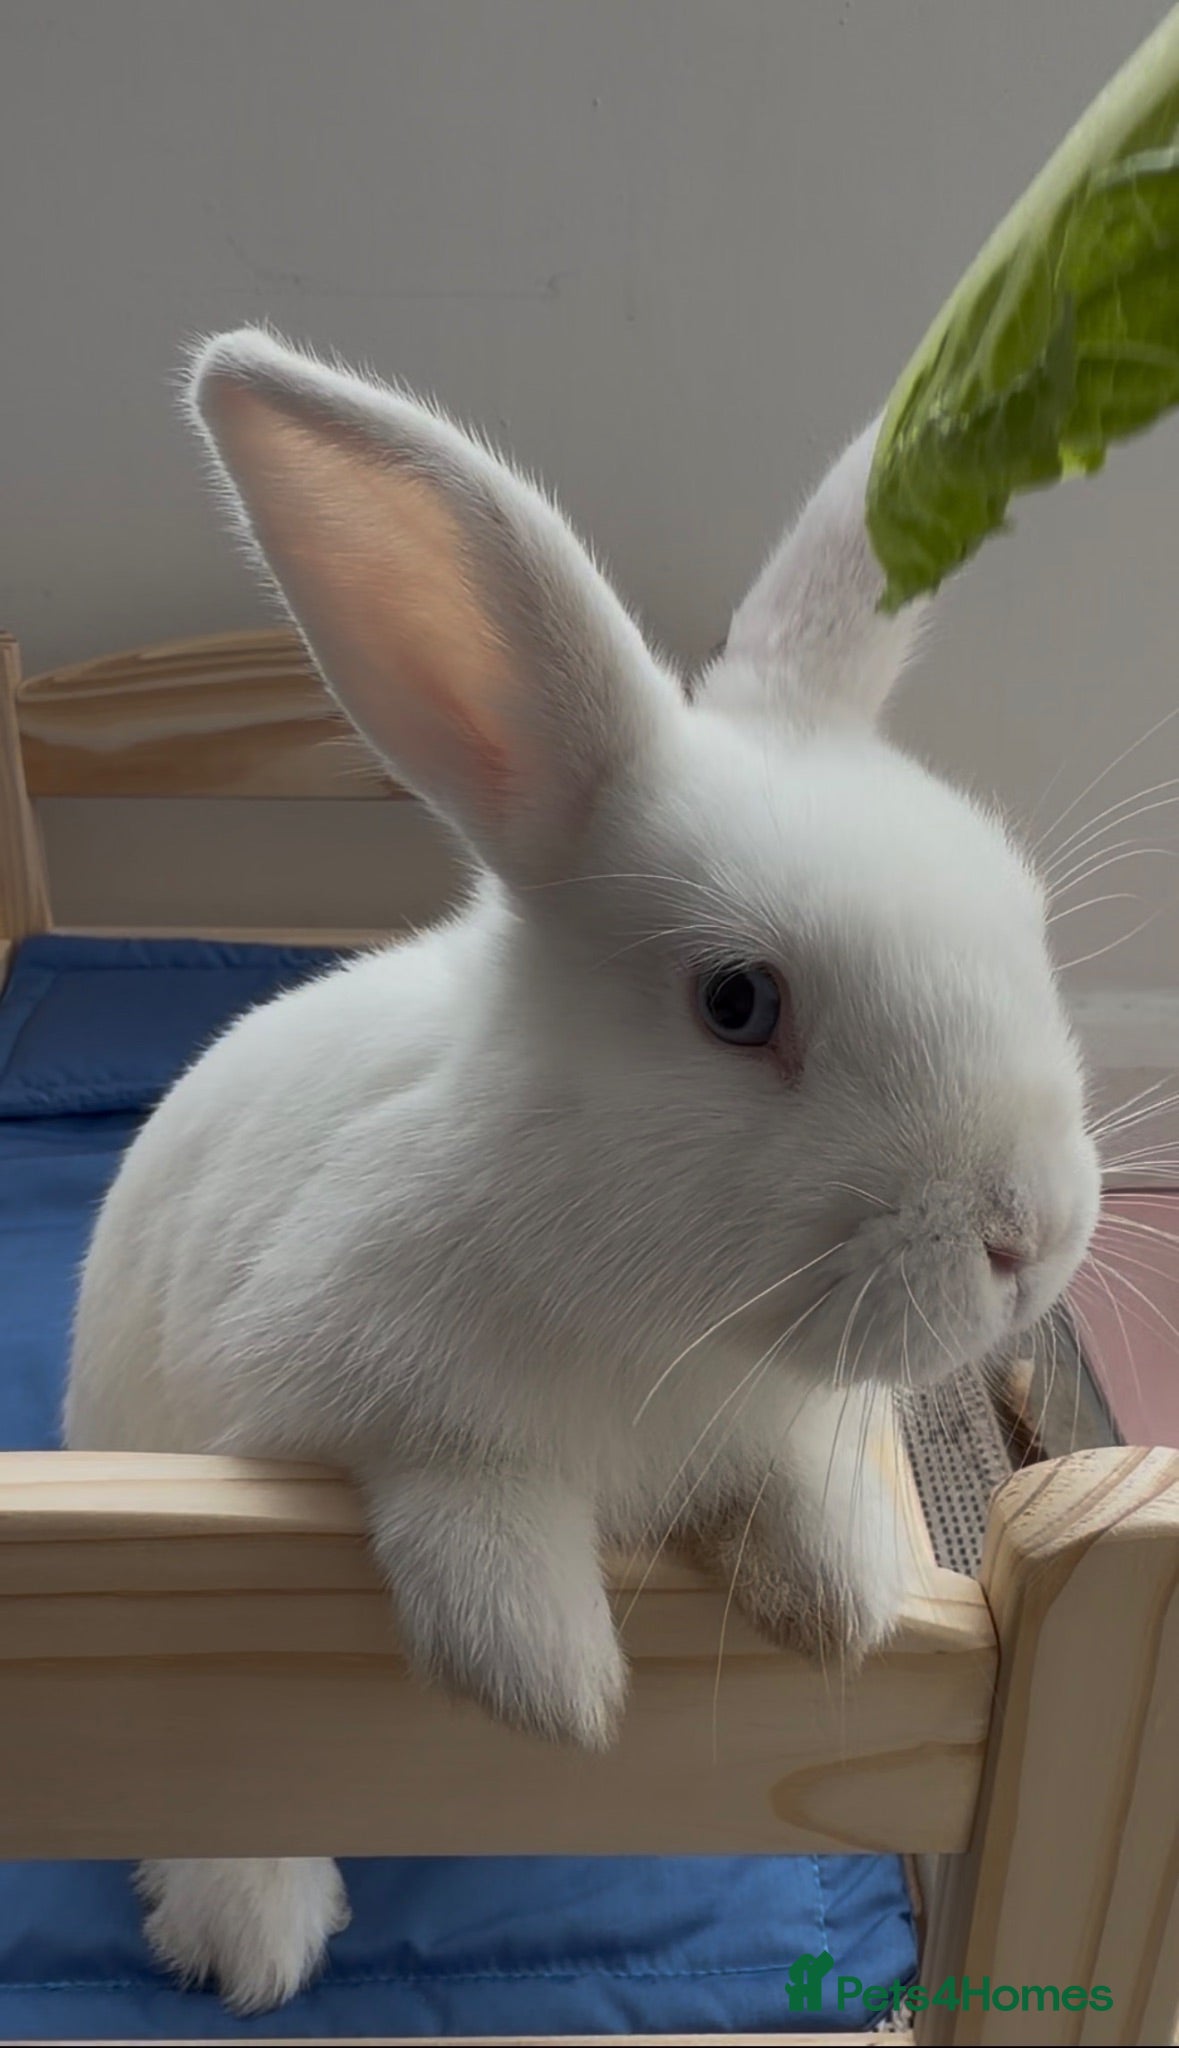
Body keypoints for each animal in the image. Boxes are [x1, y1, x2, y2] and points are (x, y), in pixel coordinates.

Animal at [65, 326, 1101, 2012]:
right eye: (737, 1002)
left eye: (1018, 913)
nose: (1032, 1235)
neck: (658, 1307)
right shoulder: (352, 1395)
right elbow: (465, 1493)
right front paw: (544, 1675)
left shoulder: (770, 1415)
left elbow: (795, 1484)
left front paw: (842, 1597)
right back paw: (252, 1934)